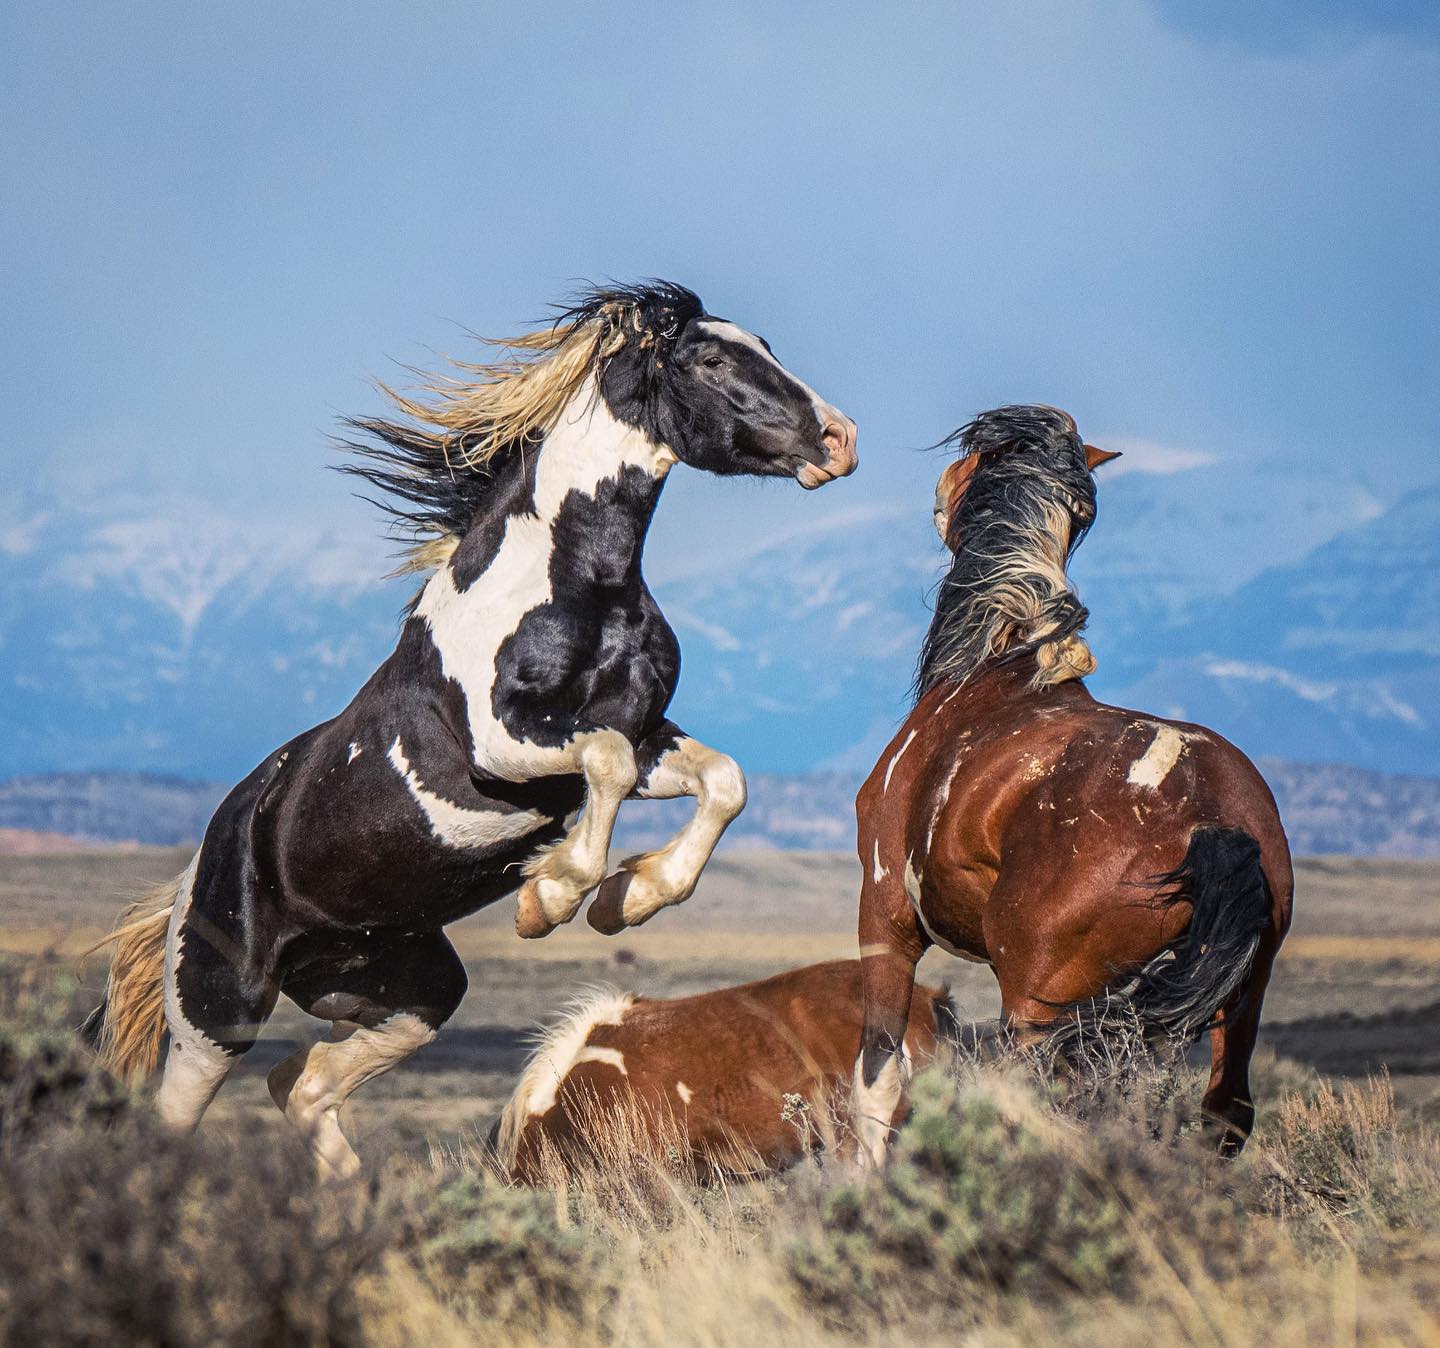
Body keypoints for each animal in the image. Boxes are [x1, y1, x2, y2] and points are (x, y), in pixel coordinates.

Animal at [87, 282, 852, 1169]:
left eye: (764, 344)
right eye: (712, 359)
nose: (840, 440)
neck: (572, 583)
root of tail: (198, 868)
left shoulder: (642, 728)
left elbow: (719, 780)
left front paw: (629, 899)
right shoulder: (502, 741)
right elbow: (608, 765)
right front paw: (552, 897)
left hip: (407, 989)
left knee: (302, 1083)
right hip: (219, 1012)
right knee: (182, 1113)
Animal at [846, 406, 1301, 1163]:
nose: (938, 501)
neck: (1002, 664)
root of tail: (1213, 821)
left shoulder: (885, 915)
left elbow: (878, 1076)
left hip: (1037, 1005)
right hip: (1237, 1002)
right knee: (1224, 1116)